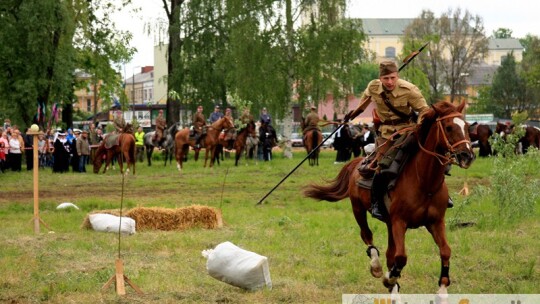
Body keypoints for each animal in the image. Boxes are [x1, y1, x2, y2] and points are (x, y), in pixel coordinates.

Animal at [306, 101, 474, 294]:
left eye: (466, 126)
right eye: (448, 127)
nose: (467, 156)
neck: (425, 182)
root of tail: (358, 163)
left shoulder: (436, 222)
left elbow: (445, 250)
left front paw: (442, 289)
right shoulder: (399, 222)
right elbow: (400, 257)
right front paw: (389, 278)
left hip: (388, 222)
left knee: (388, 252)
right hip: (358, 209)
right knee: (367, 236)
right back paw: (376, 266)